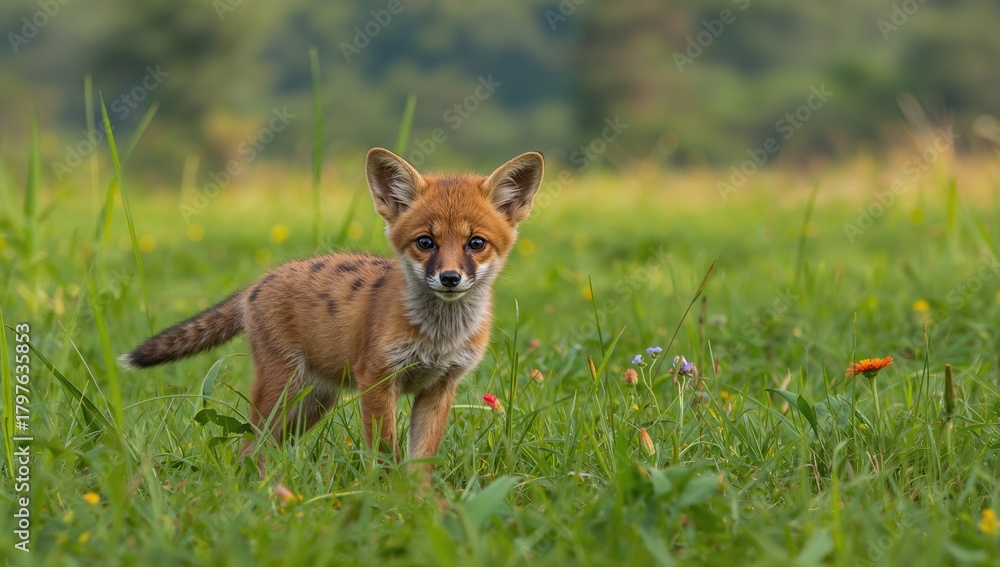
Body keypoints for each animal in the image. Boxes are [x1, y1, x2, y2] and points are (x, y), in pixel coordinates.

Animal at [122, 148, 544, 479]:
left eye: (476, 243)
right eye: (426, 242)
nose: (450, 278)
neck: (438, 337)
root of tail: (258, 282)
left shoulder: (440, 387)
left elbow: (421, 460)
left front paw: (422, 503)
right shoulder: (378, 380)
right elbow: (386, 454)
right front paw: (389, 501)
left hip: (313, 402)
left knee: (265, 446)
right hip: (283, 389)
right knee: (250, 445)